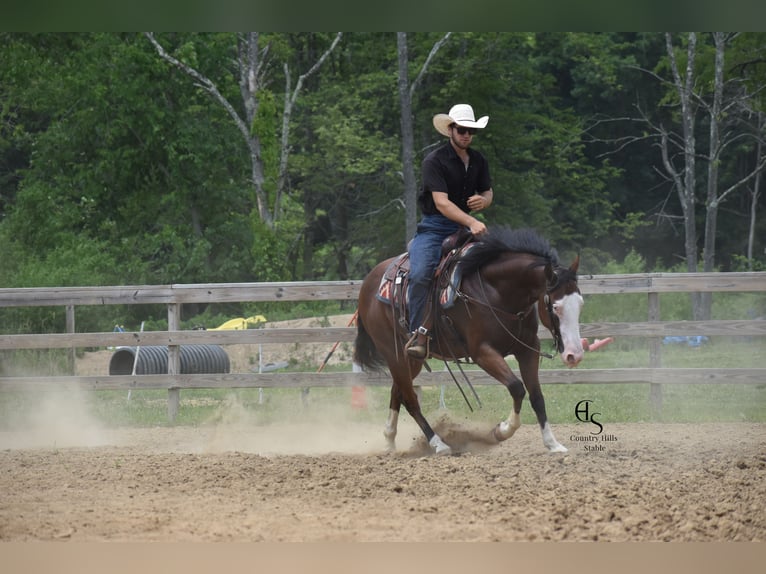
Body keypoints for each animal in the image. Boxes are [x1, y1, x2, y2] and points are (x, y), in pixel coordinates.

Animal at [353, 226, 584, 456]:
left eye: (580, 303)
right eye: (556, 307)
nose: (574, 355)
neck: (497, 292)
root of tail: (369, 281)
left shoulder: (528, 349)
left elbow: (536, 396)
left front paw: (552, 443)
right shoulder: (482, 352)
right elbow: (517, 387)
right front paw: (501, 431)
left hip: (411, 359)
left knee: (398, 391)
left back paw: (389, 441)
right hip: (393, 353)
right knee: (410, 400)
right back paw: (438, 444)